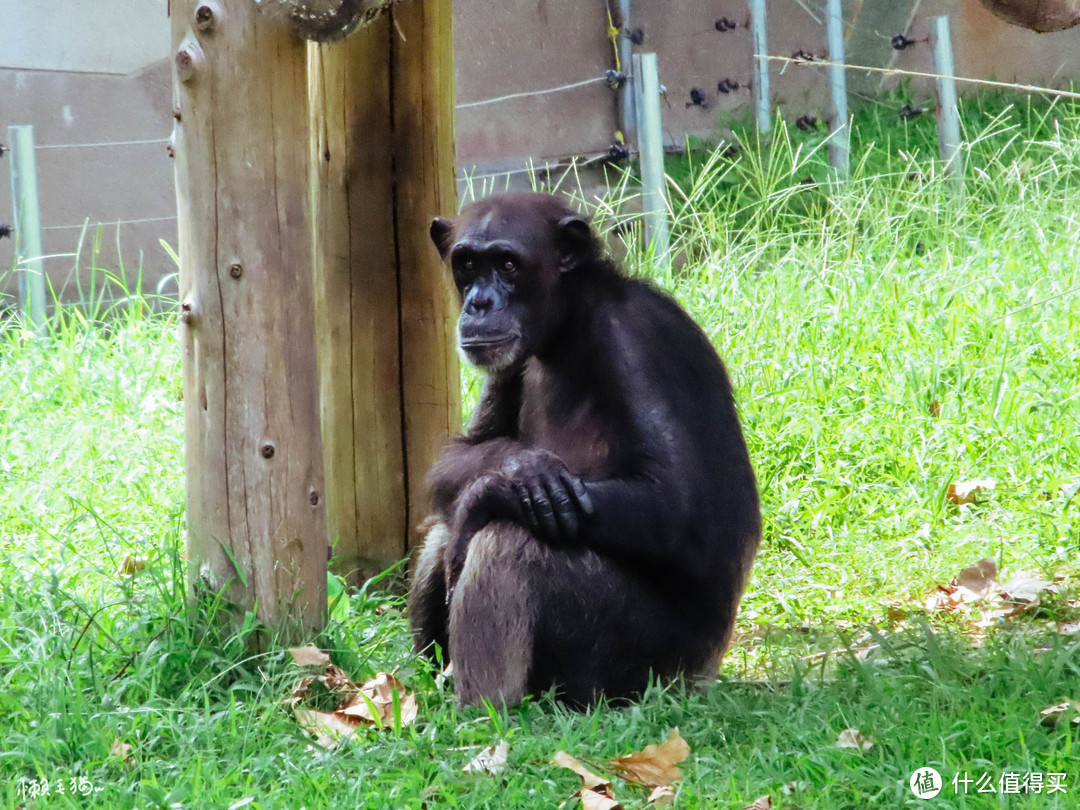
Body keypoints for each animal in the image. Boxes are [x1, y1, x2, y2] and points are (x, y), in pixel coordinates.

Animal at [406, 193, 760, 708]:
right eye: (467, 264)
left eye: (508, 264)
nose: (479, 302)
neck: (568, 328)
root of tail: (704, 677)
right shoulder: (506, 363)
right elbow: (463, 452)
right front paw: (521, 467)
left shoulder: (636, 339)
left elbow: (677, 505)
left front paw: (497, 490)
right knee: (444, 529)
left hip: (640, 672)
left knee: (505, 543)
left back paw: (482, 715)